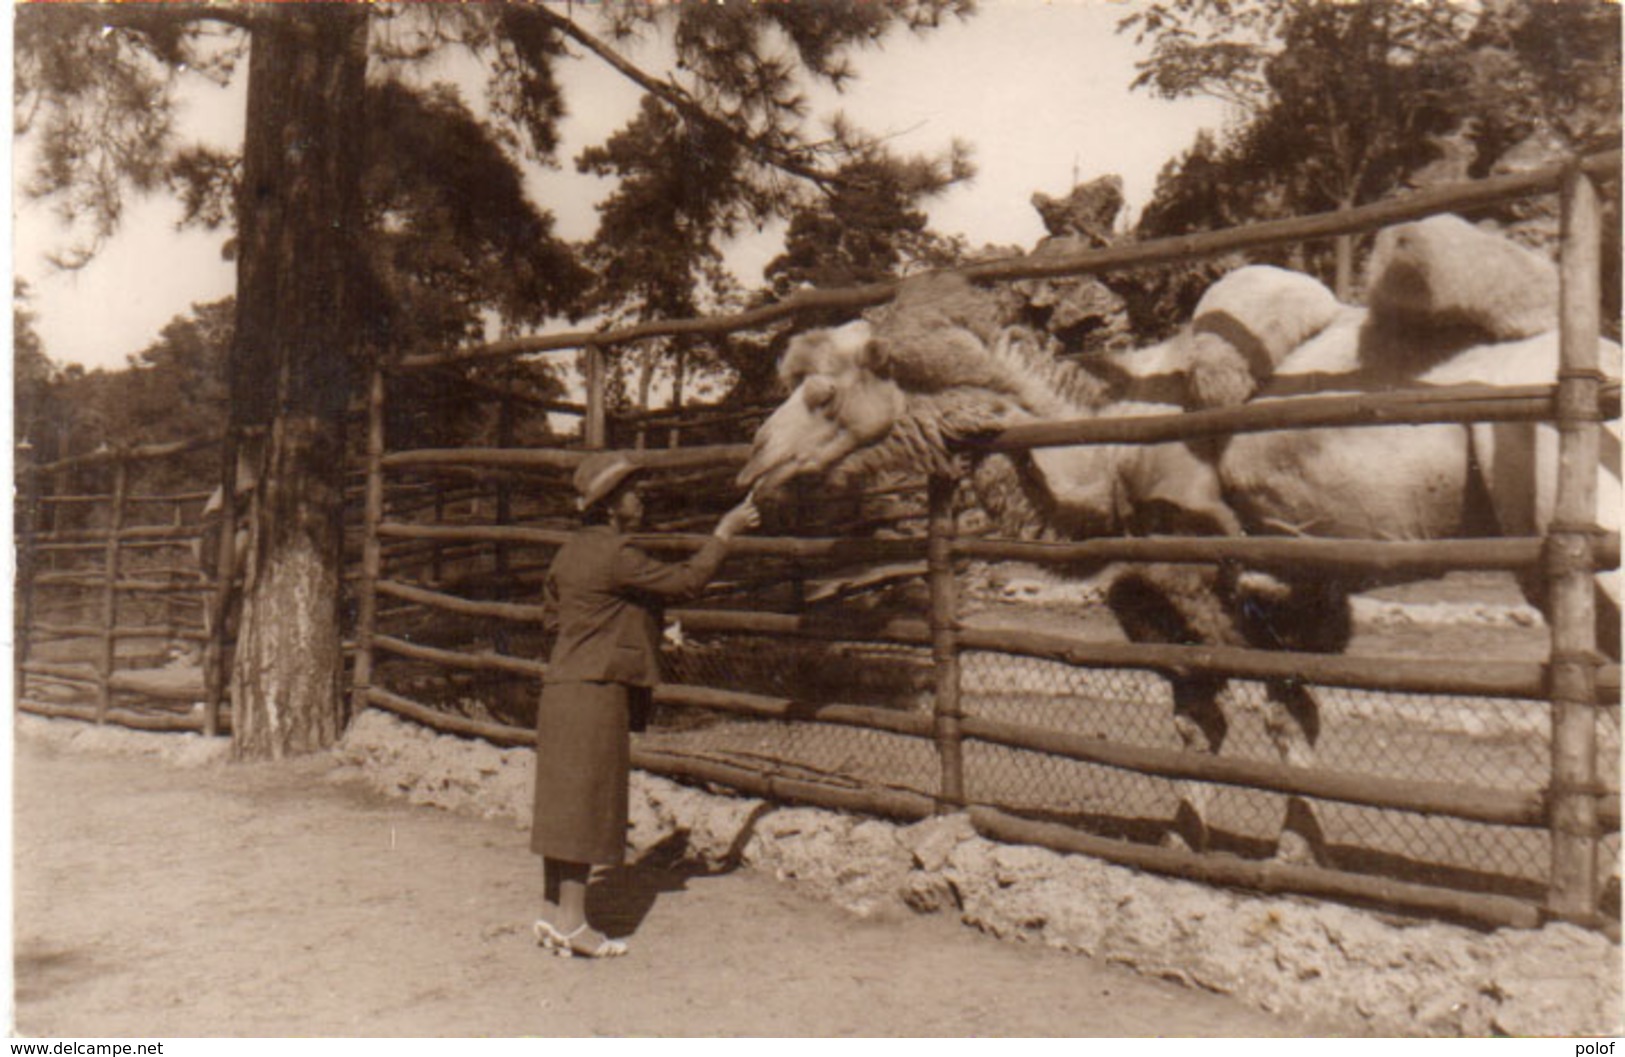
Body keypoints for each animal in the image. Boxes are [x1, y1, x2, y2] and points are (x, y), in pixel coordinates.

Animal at [744, 211, 1618, 858]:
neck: (1104, 447)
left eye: (822, 393)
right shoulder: (1281, 587)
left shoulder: (1203, 572)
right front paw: (1214, 839)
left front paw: (1280, 850)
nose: (755, 455)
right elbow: (1232, 714)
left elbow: (1250, 714)